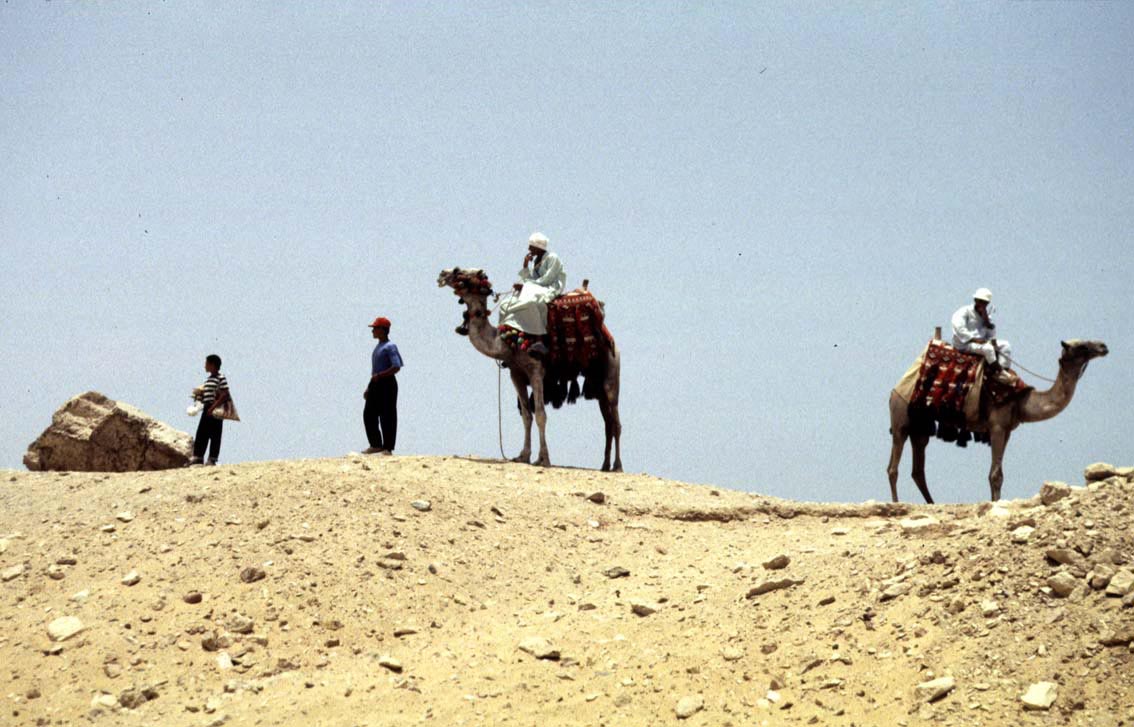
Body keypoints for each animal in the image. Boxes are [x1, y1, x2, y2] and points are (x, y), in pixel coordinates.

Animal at [437, 266, 625, 471]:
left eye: (460, 272)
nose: (442, 274)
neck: (506, 342)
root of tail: (610, 339)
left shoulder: (536, 370)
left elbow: (541, 414)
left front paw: (544, 459)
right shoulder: (516, 373)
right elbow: (527, 415)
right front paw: (524, 456)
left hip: (611, 371)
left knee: (616, 421)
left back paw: (618, 466)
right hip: (596, 381)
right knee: (607, 423)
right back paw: (605, 465)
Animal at [884, 337, 1106, 501]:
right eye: (1082, 346)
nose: (1103, 346)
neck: (1022, 399)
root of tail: (896, 388)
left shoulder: (1007, 430)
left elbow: (995, 473)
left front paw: (994, 500)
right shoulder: (997, 425)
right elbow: (996, 474)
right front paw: (996, 503)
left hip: (921, 426)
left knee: (917, 469)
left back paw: (932, 503)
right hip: (901, 417)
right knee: (893, 467)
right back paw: (896, 503)